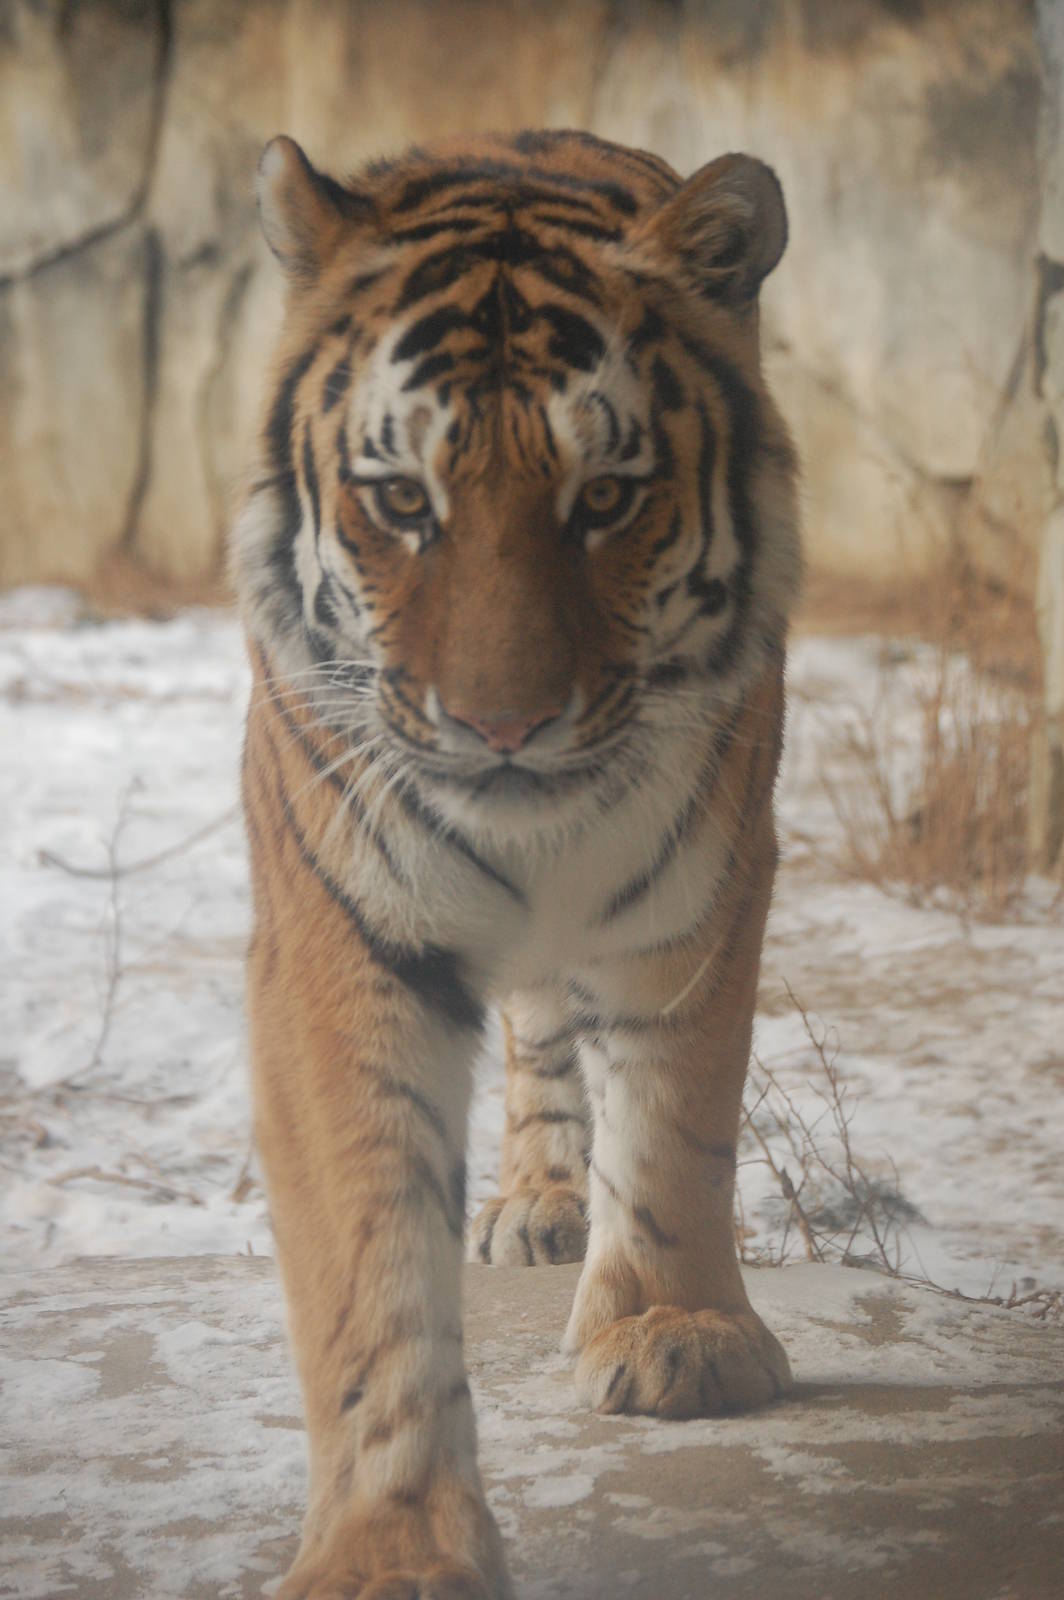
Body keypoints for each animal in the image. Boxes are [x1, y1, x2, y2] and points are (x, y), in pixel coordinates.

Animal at [233, 128, 800, 1600]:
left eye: (604, 497)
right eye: (400, 501)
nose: (502, 728)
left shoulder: (700, 885)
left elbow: (674, 1119)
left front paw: (673, 1334)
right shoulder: (338, 932)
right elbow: (369, 1246)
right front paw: (388, 1546)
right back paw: (536, 1202)